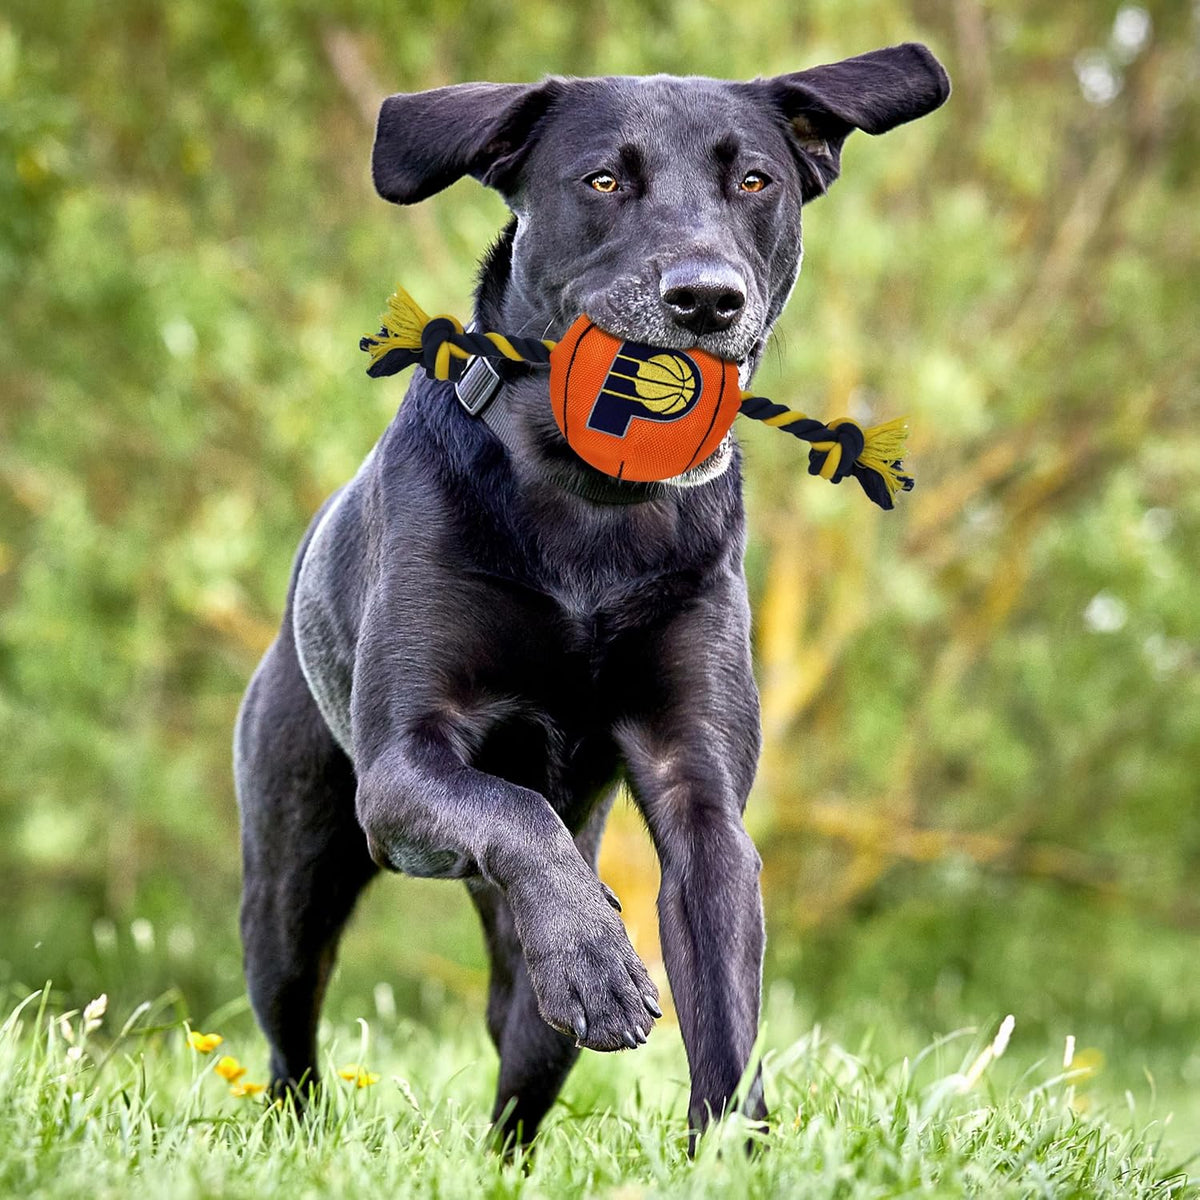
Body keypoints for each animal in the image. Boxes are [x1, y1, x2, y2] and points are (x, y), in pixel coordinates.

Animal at [234, 44, 945, 1142]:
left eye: (756, 182)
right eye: (604, 181)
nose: (706, 297)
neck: (592, 508)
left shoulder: (699, 792)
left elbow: (726, 1011)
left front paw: (736, 1150)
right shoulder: (400, 771)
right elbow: (512, 804)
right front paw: (598, 963)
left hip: (518, 992)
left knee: (522, 1061)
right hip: (290, 876)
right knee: (290, 1031)